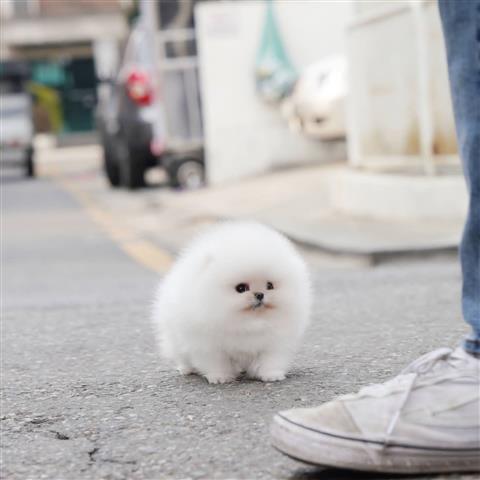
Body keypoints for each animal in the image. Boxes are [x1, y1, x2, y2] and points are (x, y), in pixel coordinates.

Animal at [152, 223, 314, 384]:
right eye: (241, 288)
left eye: (270, 285)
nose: (260, 294)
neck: (248, 321)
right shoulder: (209, 345)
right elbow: (216, 362)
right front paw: (220, 377)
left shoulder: (274, 343)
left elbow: (270, 360)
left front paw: (271, 375)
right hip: (175, 338)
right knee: (181, 355)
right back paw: (187, 369)